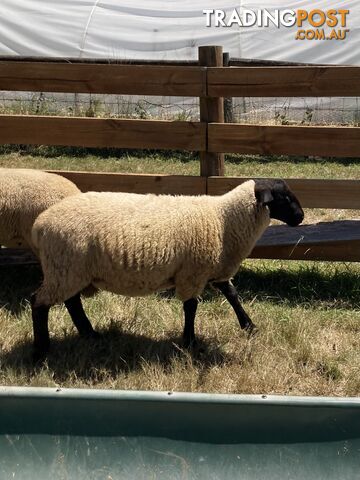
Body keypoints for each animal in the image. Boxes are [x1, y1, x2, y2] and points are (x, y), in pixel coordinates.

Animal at [30, 178, 304, 358]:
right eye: (283, 197)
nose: (300, 217)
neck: (223, 219)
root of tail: (40, 225)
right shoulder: (193, 272)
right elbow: (191, 307)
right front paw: (190, 341)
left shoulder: (214, 269)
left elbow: (232, 295)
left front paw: (249, 327)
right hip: (65, 267)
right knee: (39, 303)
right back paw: (42, 350)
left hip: (69, 270)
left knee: (72, 302)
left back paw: (90, 334)